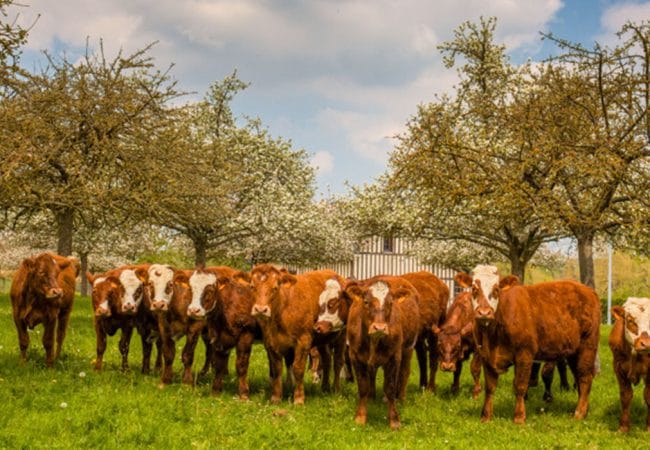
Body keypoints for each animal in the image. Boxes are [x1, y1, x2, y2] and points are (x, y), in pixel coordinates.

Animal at [249, 266, 336, 406]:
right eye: (252, 286)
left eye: (275, 288)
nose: (261, 309)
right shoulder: (271, 343)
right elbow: (277, 370)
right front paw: (276, 397)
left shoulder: (304, 341)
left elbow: (298, 369)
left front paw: (299, 398)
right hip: (323, 339)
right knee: (327, 358)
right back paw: (325, 387)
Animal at [344, 276, 420, 430]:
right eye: (366, 302)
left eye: (390, 303)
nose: (379, 328)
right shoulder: (355, 356)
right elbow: (363, 387)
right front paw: (360, 417)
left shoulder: (394, 357)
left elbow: (390, 387)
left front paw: (394, 420)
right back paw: (372, 397)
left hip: (408, 349)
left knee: (404, 373)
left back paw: (400, 398)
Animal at [456, 262, 596, 424]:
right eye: (474, 289)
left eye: (496, 289)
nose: (484, 312)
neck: (493, 335)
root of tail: (586, 290)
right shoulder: (486, 356)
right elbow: (490, 387)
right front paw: (486, 416)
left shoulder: (525, 354)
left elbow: (520, 385)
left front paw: (519, 417)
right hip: (573, 352)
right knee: (579, 376)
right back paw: (584, 409)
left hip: (587, 346)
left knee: (585, 377)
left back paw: (579, 413)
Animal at [608, 298, 648, 430]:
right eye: (630, 320)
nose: (646, 343)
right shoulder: (618, 367)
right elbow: (626, 396)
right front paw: (624, 427)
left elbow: (648, 395)